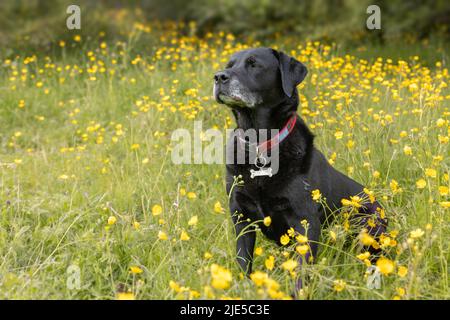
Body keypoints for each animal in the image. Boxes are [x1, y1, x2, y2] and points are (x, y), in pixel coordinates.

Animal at [214, 48, 386, 292]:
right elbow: (243, 260)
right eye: (229, 65)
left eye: (253, 64)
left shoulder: (305, 222)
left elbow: (301, 272)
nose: (219, 77)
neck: (260, 145)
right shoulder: (241, 215)